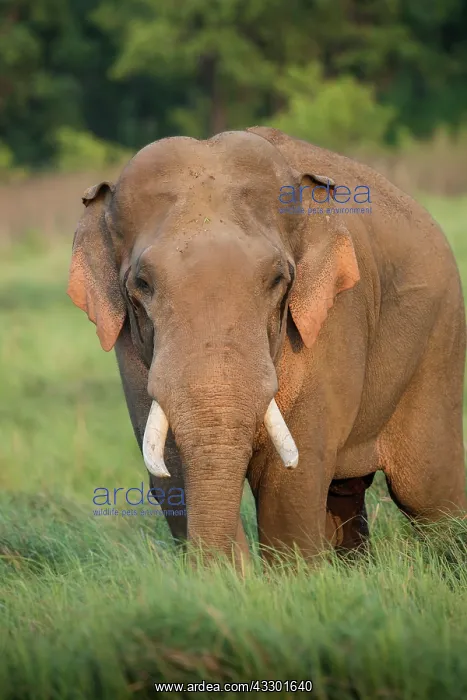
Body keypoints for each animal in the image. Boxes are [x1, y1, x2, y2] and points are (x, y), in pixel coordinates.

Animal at [67, 126, 467, 567]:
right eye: (141, 284)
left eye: (277, 280)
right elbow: (171, 471)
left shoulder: (331, 322)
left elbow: (290, 479)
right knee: (347, 494)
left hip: (440, 345)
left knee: (430, 492)